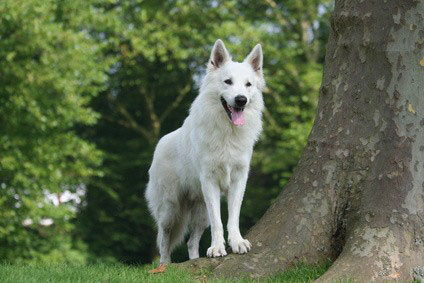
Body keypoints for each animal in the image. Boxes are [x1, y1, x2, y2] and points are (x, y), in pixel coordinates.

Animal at [146, 39, 264, 264]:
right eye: (228, 82)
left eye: (248, 85)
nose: (241, 100)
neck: (228, 133)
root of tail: (160, 143)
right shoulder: (210, 182)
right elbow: (219, 222)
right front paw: (217, 248)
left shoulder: (238, 180)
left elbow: (233, 217)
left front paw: (237, 242)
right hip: (170, 210)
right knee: (163, 240)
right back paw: (164, 266)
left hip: (201, 215)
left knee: (191, 242)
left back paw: (193, 260)